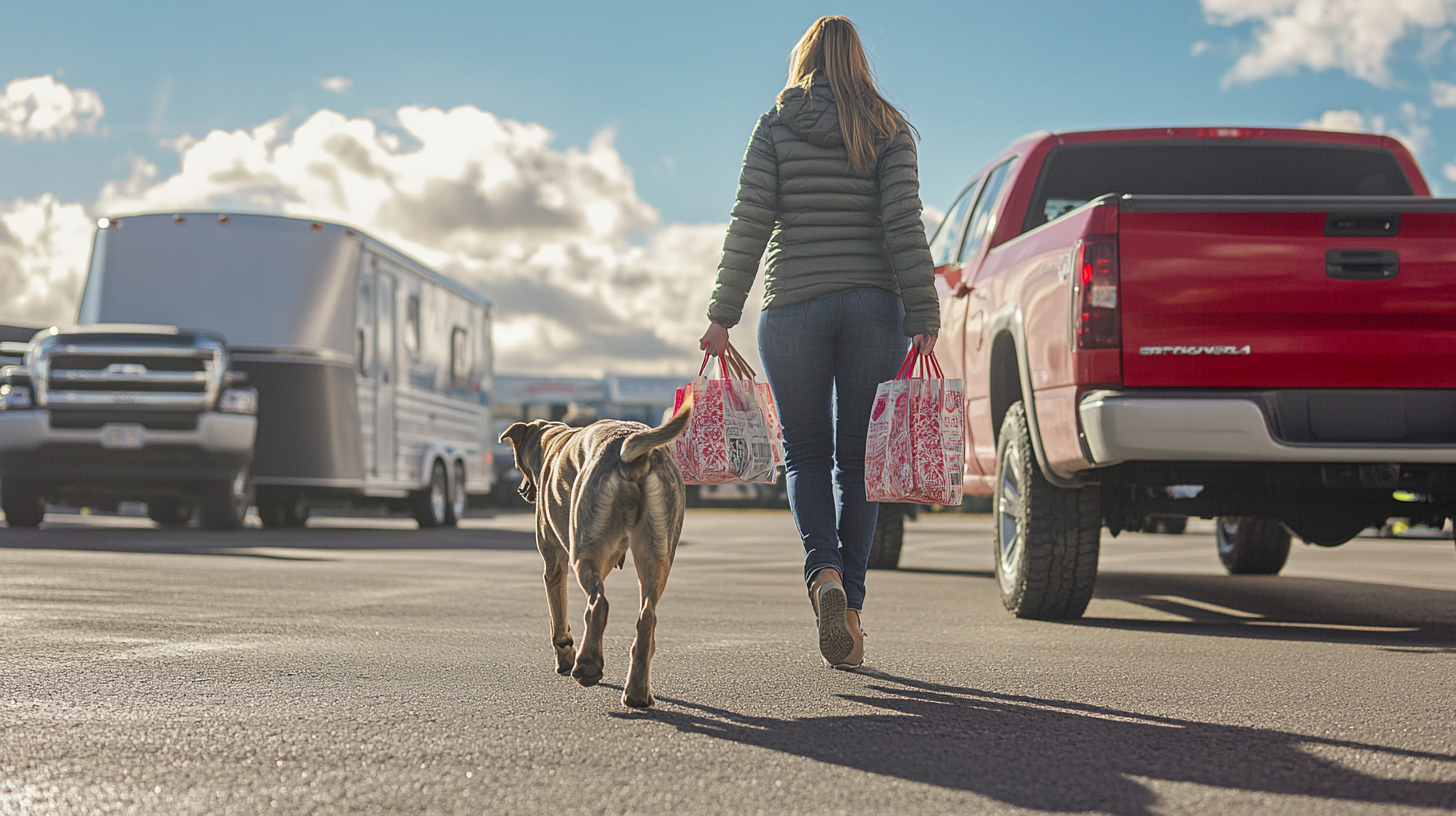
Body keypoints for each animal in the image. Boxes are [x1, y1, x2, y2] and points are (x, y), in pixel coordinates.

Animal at [500, 399, 693, 708]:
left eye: (517, 463)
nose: (520, 490)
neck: (554, 440)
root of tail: (628, 448)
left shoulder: (554, 564)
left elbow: (558, 619)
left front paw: (565, 657)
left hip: (585, 550)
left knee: (598, 604)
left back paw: (587, 665)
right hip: (657, 554)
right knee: (647, 618)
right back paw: (637, 693)